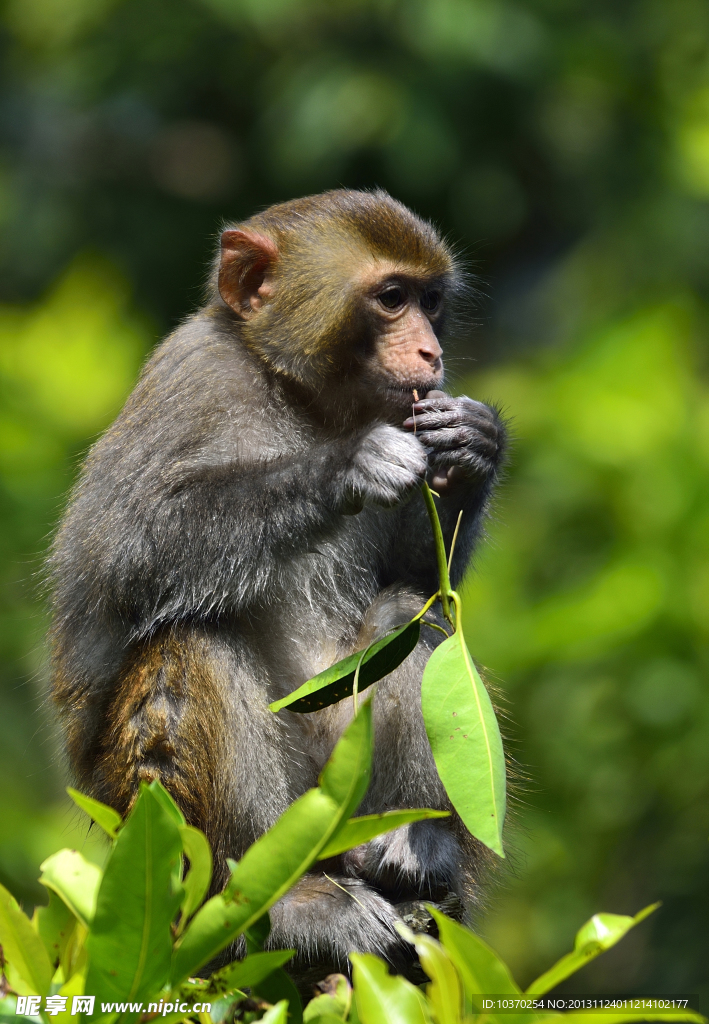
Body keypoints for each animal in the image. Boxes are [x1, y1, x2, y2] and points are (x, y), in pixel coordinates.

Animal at [48, 188, 504, 987]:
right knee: (188, 637)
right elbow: (122, 549)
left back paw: (414, 852)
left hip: (338, 796)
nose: (431, 353)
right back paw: (284, 905)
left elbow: (416, 582)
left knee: (408, 619)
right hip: (154, 821)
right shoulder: (190, 376)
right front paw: (348, 464)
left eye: (431, 301)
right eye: (391, 299)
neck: (299, 398)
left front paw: (474, 444)